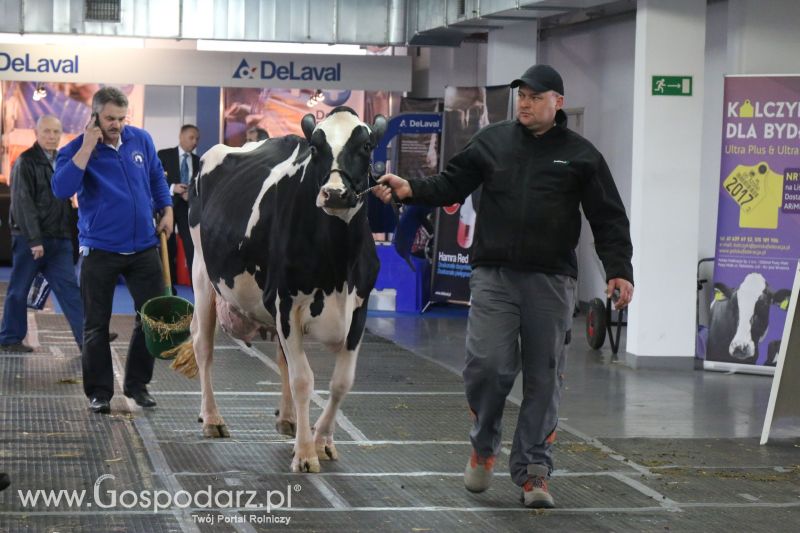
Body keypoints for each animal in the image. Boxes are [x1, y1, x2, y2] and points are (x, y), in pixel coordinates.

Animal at [176, 107, 388, 470]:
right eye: (315, 148)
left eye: (366, 146)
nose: (334, 193)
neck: (339, 268)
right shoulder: (287, 303)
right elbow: (304, 379)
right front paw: (305, 453)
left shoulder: (358, 310)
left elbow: (340, 382)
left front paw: (323, 441)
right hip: (202, 272)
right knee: (204, 344)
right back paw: (212, 418)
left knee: (281, 359)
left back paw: (288, 418)